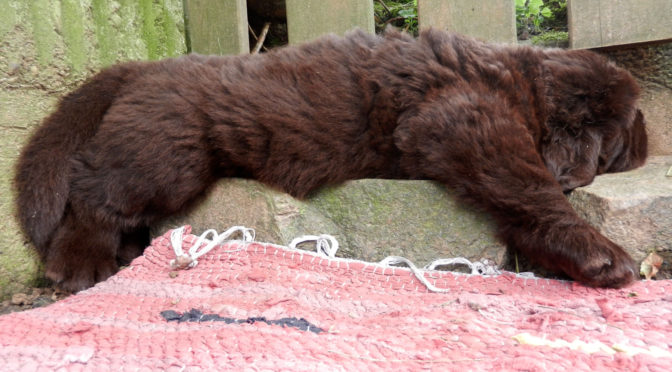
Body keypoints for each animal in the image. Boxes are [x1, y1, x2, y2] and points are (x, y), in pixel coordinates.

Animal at [14, 29, 644, 292]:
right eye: (622, 138)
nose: (642, 140)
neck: (526, 84)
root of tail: (144, 68)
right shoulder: (464, 118)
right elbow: (531, 185)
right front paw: (601, 255)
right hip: (168, 155)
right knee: (93, 190)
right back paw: (78, 265)